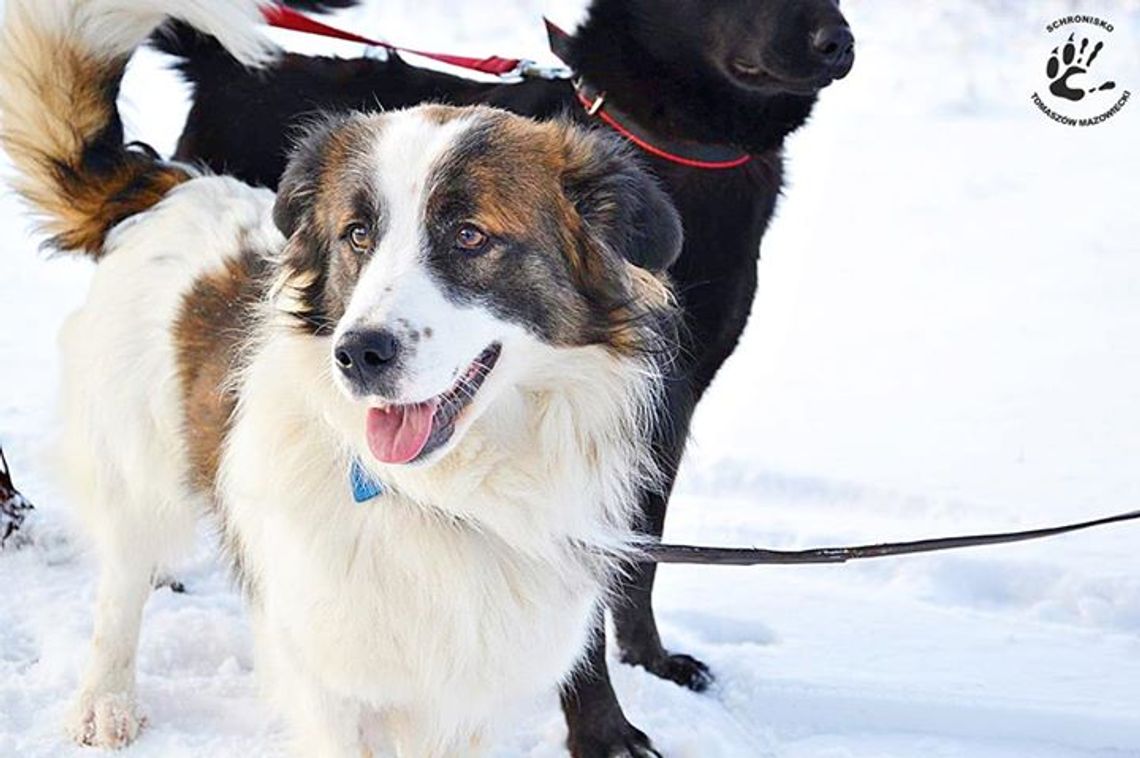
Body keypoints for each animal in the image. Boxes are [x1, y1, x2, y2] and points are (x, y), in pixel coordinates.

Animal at [0, 0, 679, 752]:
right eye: (358, 234)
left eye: (469, 235)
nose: (357, 354)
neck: (444, 496)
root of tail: (171, 185)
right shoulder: (328, 685)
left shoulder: (465, 704)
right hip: (132, 465)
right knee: (120, 584)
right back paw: (106, 700)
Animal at [158, 2, 857, 752]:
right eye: (358, 234)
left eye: (468, 235)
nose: (358, 354)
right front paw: (602, 728)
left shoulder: (667, 412)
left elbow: (634, 564)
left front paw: (648, 664)